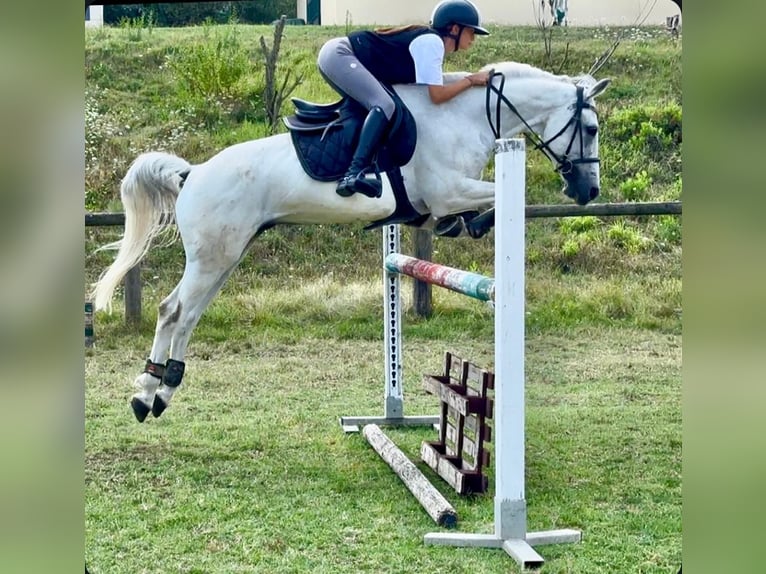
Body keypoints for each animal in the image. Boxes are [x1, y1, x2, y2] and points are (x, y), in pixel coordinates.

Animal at [91, 61, 610, 422]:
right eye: (590, 129)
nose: (587, 192)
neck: (465, 117)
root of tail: (192, 172)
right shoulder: (447, 189)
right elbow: (503, 198)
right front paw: (478, 221)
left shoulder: (445, 196)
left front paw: (466, 225)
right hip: (213, 257)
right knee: (173, 311)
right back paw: (146, 393)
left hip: (224, 257)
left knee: (186, 315)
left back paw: (161, 391)